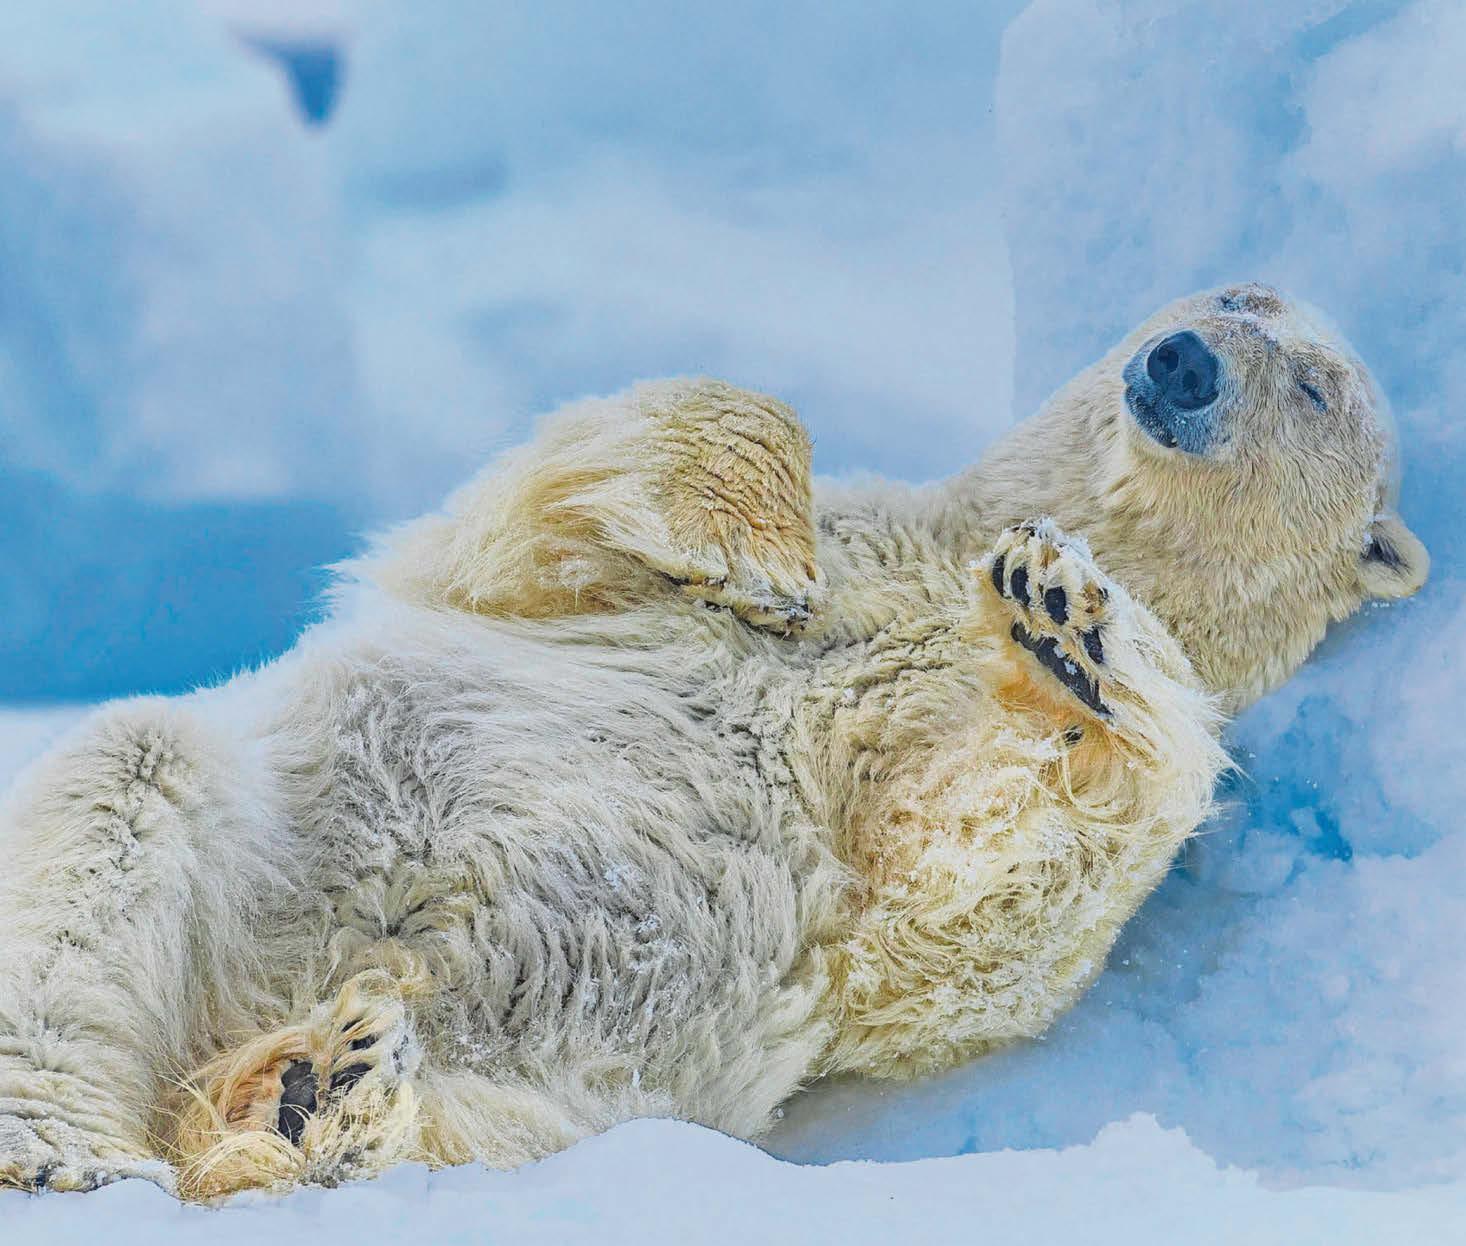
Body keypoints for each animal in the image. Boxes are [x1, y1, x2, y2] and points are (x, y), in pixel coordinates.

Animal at [0, 284, 1427, 1199]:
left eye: (1314, 385)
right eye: (1232, 290)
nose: (1180, 360)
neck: (936, 566)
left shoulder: (909, 839)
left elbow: (958, 902)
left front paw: (1077, 634)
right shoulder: (820, 538)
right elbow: (546, 506)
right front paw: (764, 560)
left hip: (554, 1102)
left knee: (455, 1121)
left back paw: (310, 1095)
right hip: (260, 854)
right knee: (109, 819)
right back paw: (80, 1143)